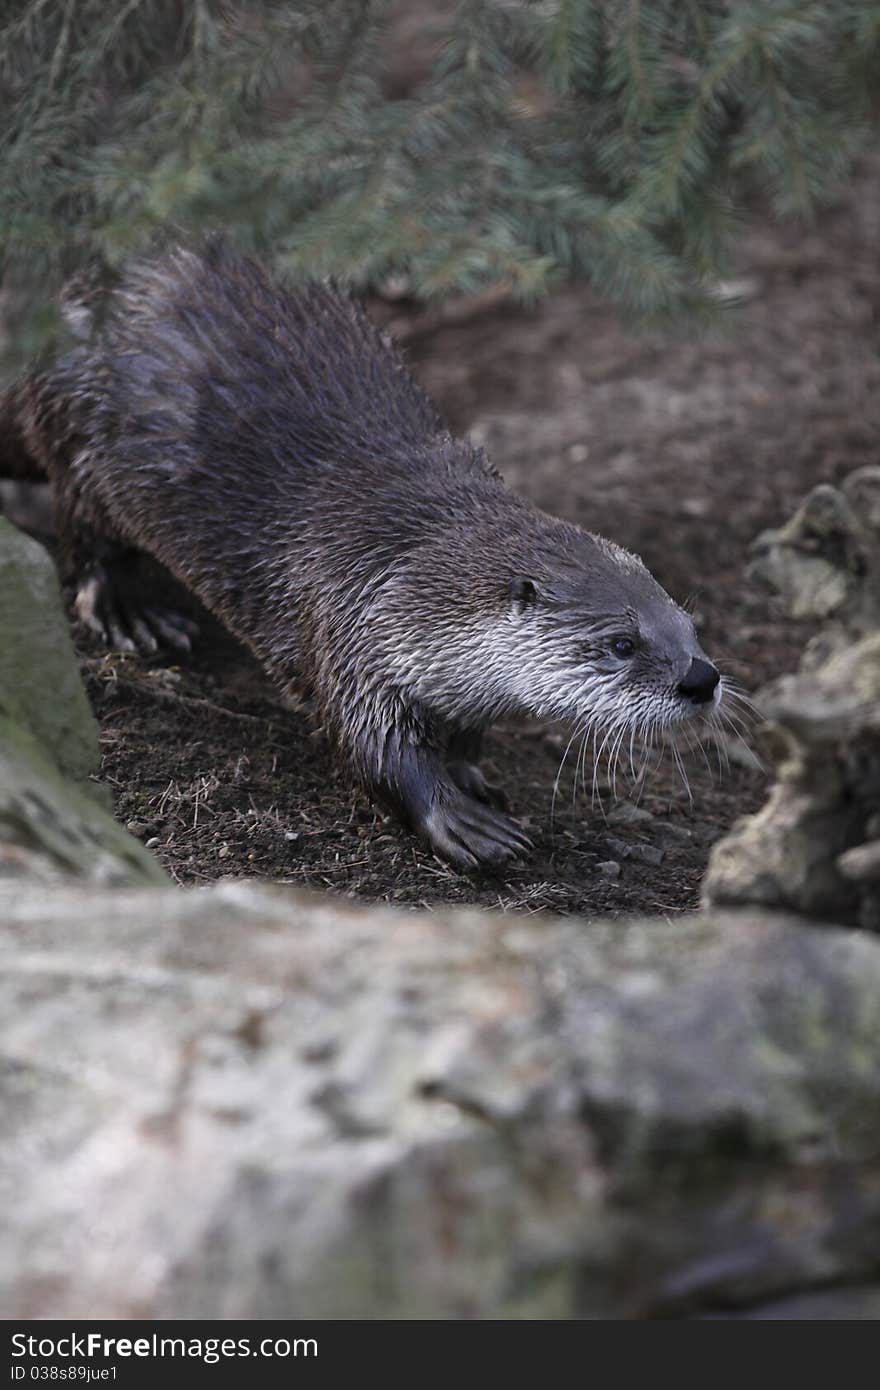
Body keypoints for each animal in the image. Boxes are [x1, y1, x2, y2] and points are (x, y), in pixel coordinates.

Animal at [1, 240, 722, 867]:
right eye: (621, 644)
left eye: (686, 623)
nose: (702, 678)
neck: (413, 565)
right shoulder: (352, 624)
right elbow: (369, 745)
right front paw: (460, 819)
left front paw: (471, 771)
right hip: (83, 436)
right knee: (83, 526)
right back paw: (130, 611)